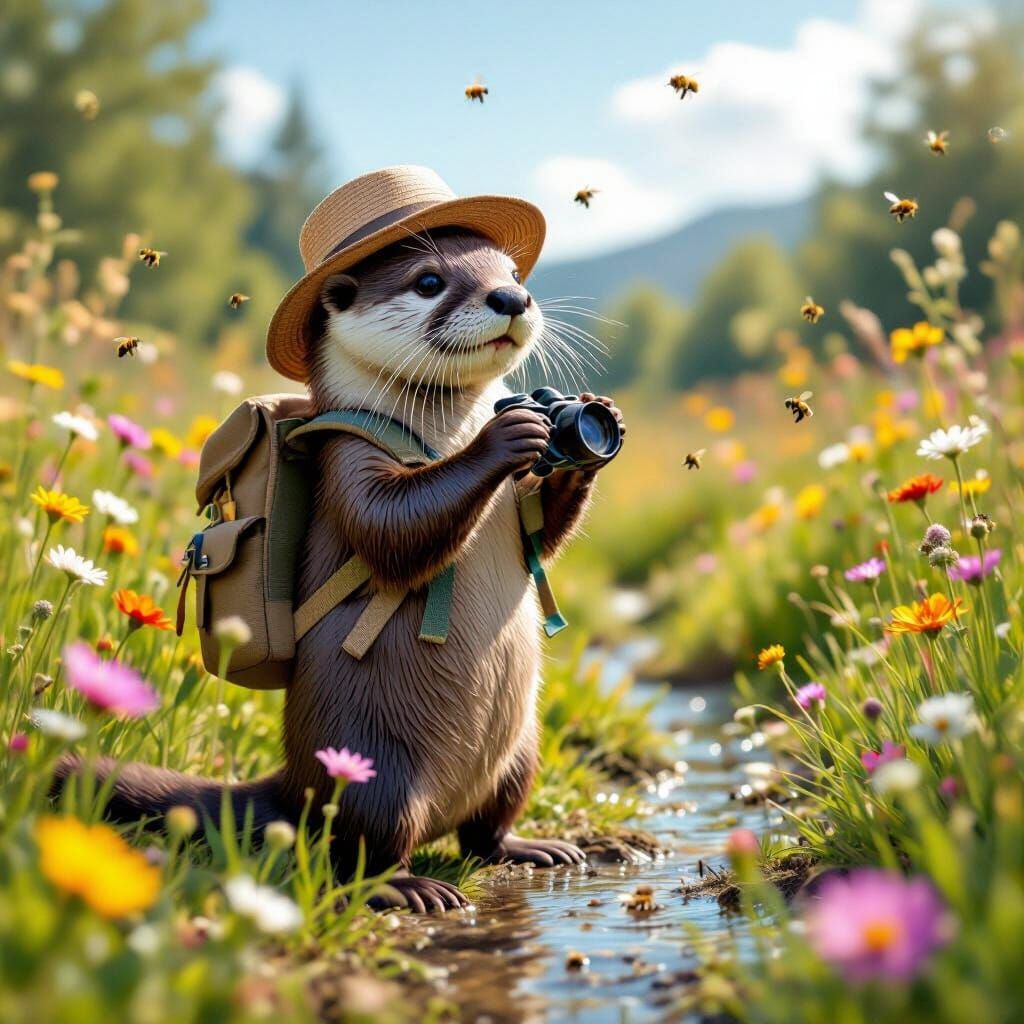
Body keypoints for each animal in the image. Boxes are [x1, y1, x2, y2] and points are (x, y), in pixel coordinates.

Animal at [62, 228, 623, 913]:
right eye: (429, 281)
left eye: (515, 273)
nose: (512, 298)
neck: (440, 433)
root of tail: (295, 779)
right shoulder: (346, 455)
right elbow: (390, 529)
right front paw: (507, 435)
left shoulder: (519, 509)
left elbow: (542, 530)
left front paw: (595, 422)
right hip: (373, 771)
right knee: (361, 848)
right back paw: (412, 888)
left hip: (521, 754)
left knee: (484, 830)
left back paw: (532, 848)